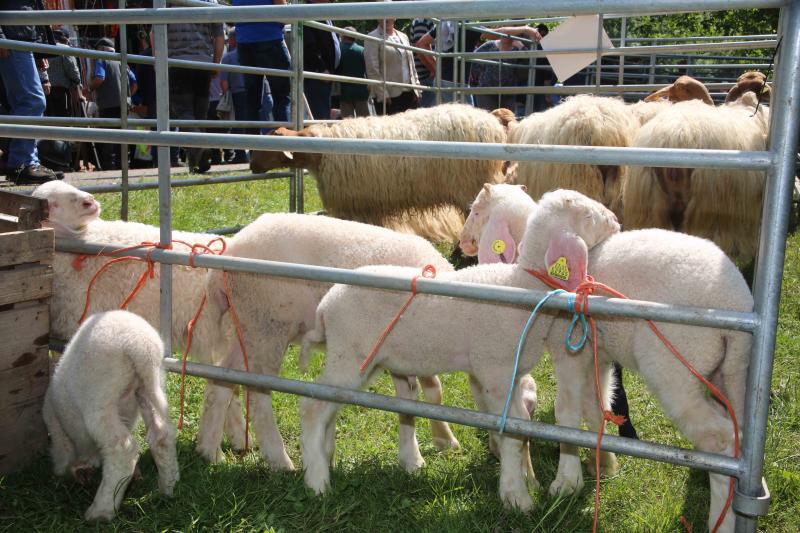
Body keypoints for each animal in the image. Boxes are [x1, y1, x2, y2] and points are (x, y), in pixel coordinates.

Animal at [250, 102, 510, 243]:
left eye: (268, 145)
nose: (252, 165)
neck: (319, 154)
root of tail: (491, 120)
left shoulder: (354, 203)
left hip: (473, 183)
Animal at [462, 186, 752, 528]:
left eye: (476, 211)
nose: (463, 241)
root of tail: (735, 302)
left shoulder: (569, 348)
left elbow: (567, 410)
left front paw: (567, 481)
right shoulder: (597, 351)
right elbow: (595, 406)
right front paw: (602, 462)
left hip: (674, 370)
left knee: (720, 439)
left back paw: (722, 521)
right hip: (731, 373)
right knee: (737, 431)